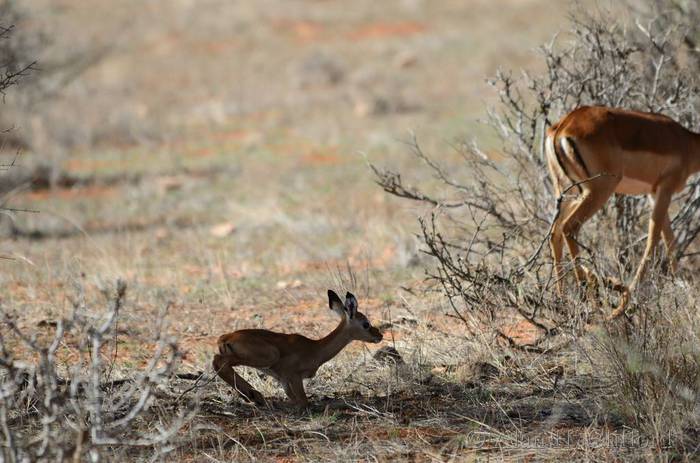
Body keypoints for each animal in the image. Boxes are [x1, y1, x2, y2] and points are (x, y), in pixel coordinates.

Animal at [212, 290, 383, 407]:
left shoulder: (284, 380)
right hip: (268, 356)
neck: (316, 348)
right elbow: (304, 402)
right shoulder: (294, 377)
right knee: (218, 361)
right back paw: (255, 395)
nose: (379, 336)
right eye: (366, 324)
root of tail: (225, 337)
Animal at [546, 105, 700, 318]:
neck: (687, 142)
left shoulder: (653, 193)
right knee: (569, 227)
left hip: (567, 193)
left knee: (555, 233)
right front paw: (628, 300)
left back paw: (563, 299)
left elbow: (670, 241)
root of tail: (564, 125)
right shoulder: (665, 190)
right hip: (599, 190)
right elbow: (653, 242)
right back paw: (592, 294)